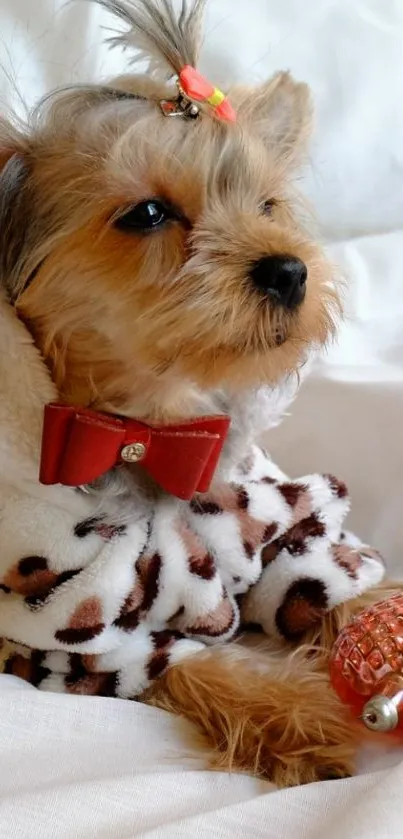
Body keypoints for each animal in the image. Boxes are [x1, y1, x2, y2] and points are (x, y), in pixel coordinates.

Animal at [0, 0, 398, 788]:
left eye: (268, 205)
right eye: (148, 214)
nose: (289, 269)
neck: (155, 429)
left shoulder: (276, 514)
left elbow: (317, 574)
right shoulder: (66, 614)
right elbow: (184, 661)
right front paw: (292, 717)